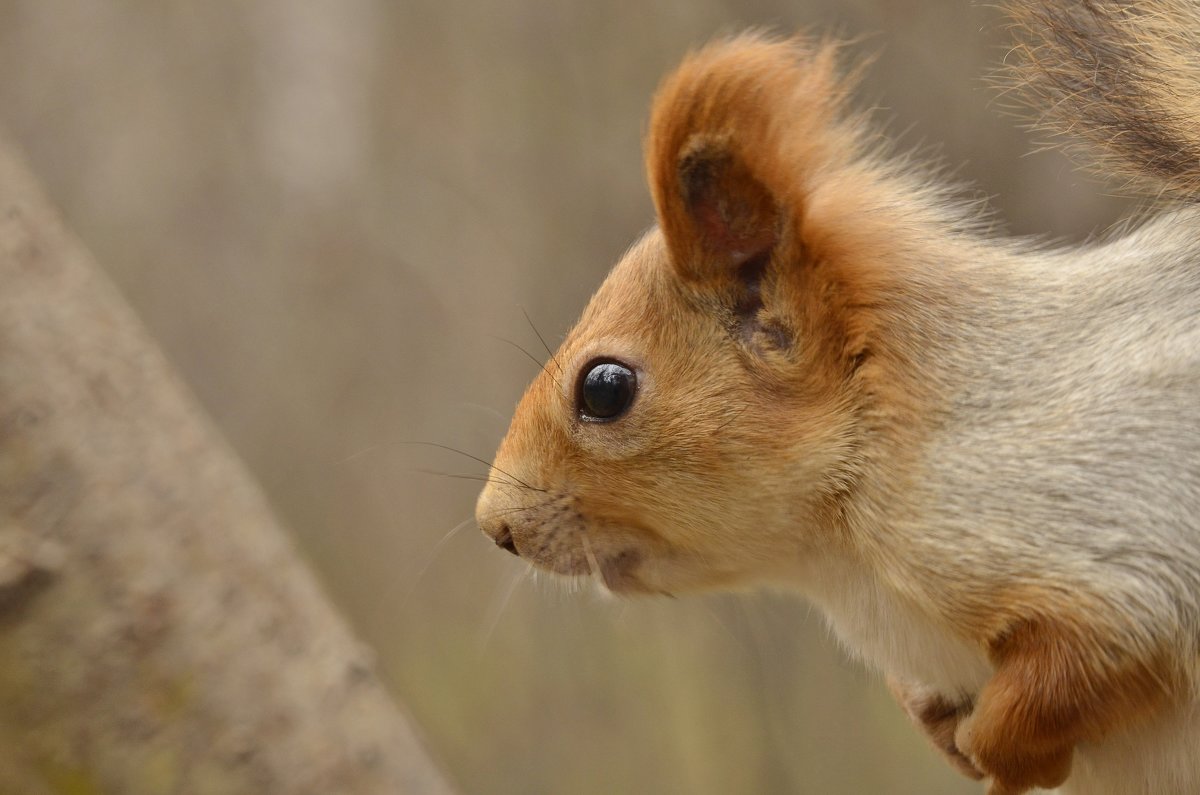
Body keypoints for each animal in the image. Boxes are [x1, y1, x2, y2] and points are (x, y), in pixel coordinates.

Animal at [472, 3, 1200, 792]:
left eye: (605, 389)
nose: (496, 526)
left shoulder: (1106, 505)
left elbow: (1108, 645)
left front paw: (996, 747)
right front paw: (940, 726)